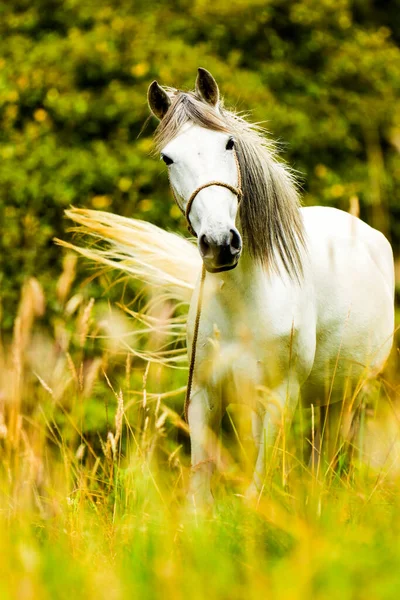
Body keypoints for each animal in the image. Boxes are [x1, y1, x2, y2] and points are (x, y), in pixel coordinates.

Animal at [64, 67, 396, 506]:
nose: (220, 243)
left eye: (228, 142)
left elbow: (257, 492)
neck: (245, 300)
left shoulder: (280, 395)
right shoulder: (204, 394)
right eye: (168, 157)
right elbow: (200, 492)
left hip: (346, 396)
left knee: (328, 457)